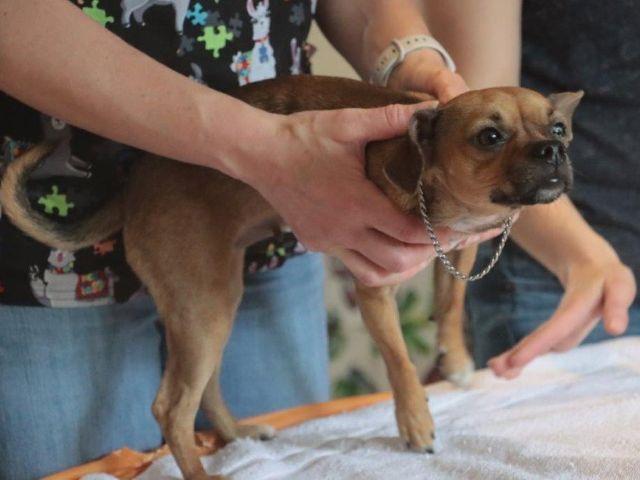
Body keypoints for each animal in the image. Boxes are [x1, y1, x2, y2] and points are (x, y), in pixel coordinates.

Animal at [0, 76, 580, 480]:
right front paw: (415, 421)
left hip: (214, 302)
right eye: (490, 137)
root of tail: (133, 186)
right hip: (204, 305)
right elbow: (398, 361)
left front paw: (455, 360)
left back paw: (238, 434)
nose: (554, 150)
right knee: (171, 408)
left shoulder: (463, 249)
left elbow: (453, 302)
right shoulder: (374, 288)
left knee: (205, 391)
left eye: (558, 127)